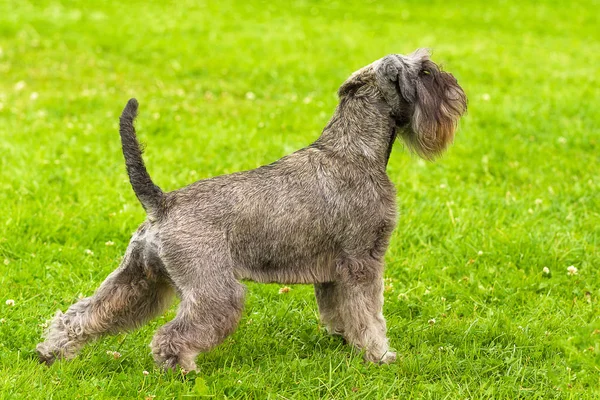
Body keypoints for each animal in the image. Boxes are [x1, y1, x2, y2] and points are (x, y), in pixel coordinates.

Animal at [36, 50, 468, 372]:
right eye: (425, 71)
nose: (457, 91)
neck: (353, 150)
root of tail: (163, 203)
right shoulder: (364, 262)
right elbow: (369, 314)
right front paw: (380, 355)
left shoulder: (334, 272)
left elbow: (340, 312)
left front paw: (344, 341)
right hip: (216, 290)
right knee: (171, 335)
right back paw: (182, 370)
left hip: (140, 279)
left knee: (85, 314)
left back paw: (51, 352)